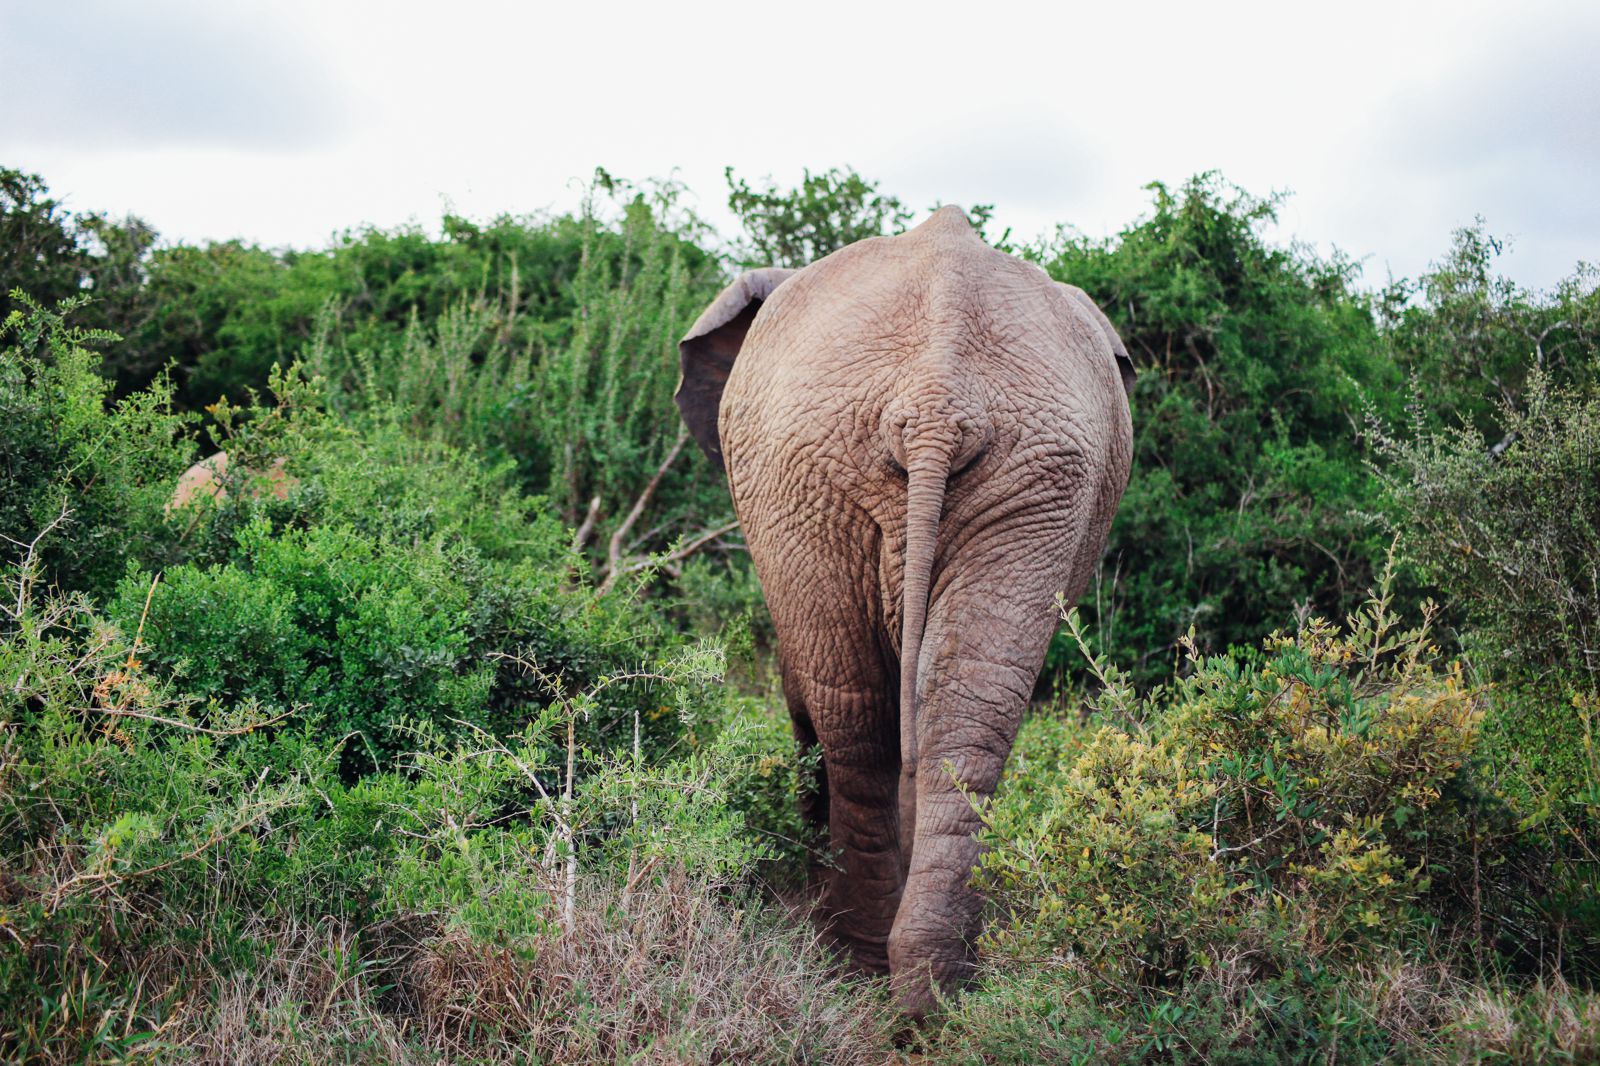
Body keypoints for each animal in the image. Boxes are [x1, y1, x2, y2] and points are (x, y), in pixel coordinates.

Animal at [675, 204, 1139, 1011]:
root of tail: (935, 397)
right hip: (1022, 480)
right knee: (963, 709)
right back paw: (935, 989)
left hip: (819, 474)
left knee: (853, 709)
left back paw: (863, 960)